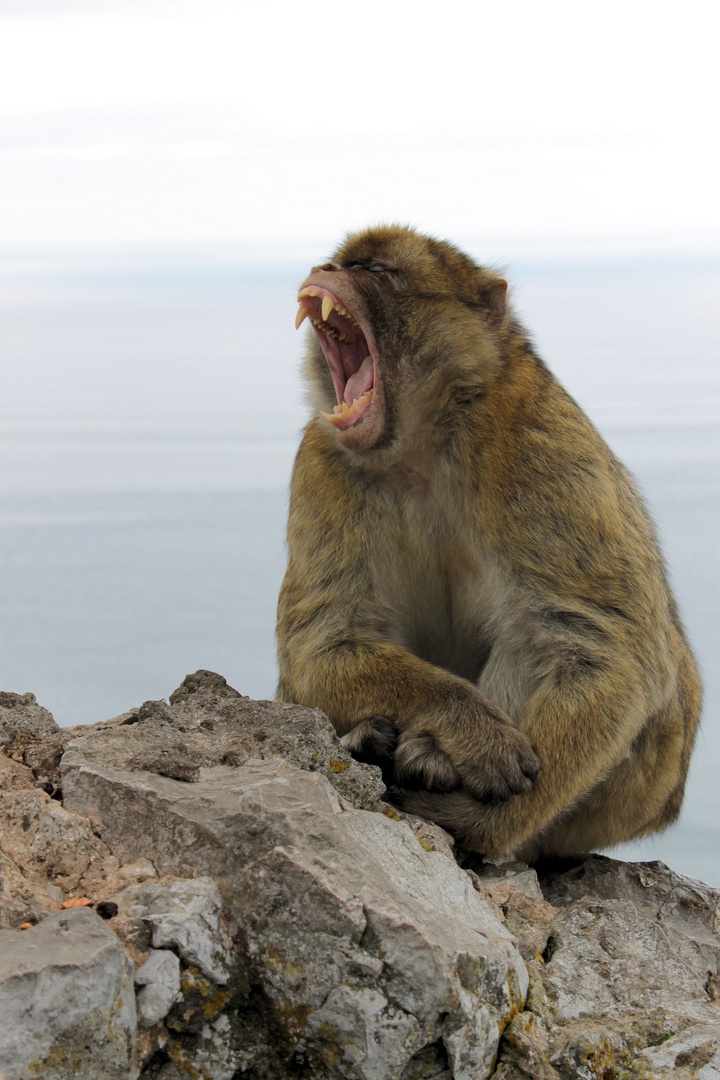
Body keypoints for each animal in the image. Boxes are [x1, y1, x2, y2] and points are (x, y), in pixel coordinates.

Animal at [274, 227, 699, 859]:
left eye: (376, 270)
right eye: (341, 261)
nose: (325, 270)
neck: (422, 446)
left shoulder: (537, 438)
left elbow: (611, 650)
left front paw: (485, 821)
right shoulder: (322, 460)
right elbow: (324, 640)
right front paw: (467, 726)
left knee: (537, 632)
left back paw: (431, 761)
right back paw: (369, 739)